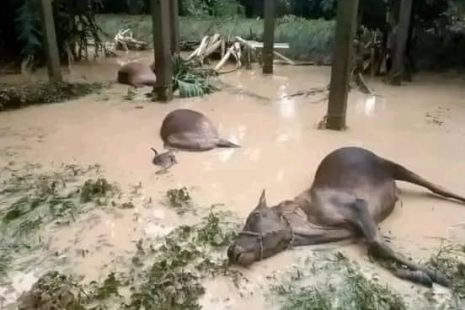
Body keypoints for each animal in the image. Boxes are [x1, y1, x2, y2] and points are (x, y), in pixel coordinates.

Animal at [227, 147, 464, 286]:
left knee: (436, 187)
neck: (309, 221)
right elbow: (376, 251)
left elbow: (379, 245)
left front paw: (439, 275)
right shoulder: (356, 232)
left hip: (394, 165)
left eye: (256, 215)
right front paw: (420, 276)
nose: (232, 251)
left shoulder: (358, 207)